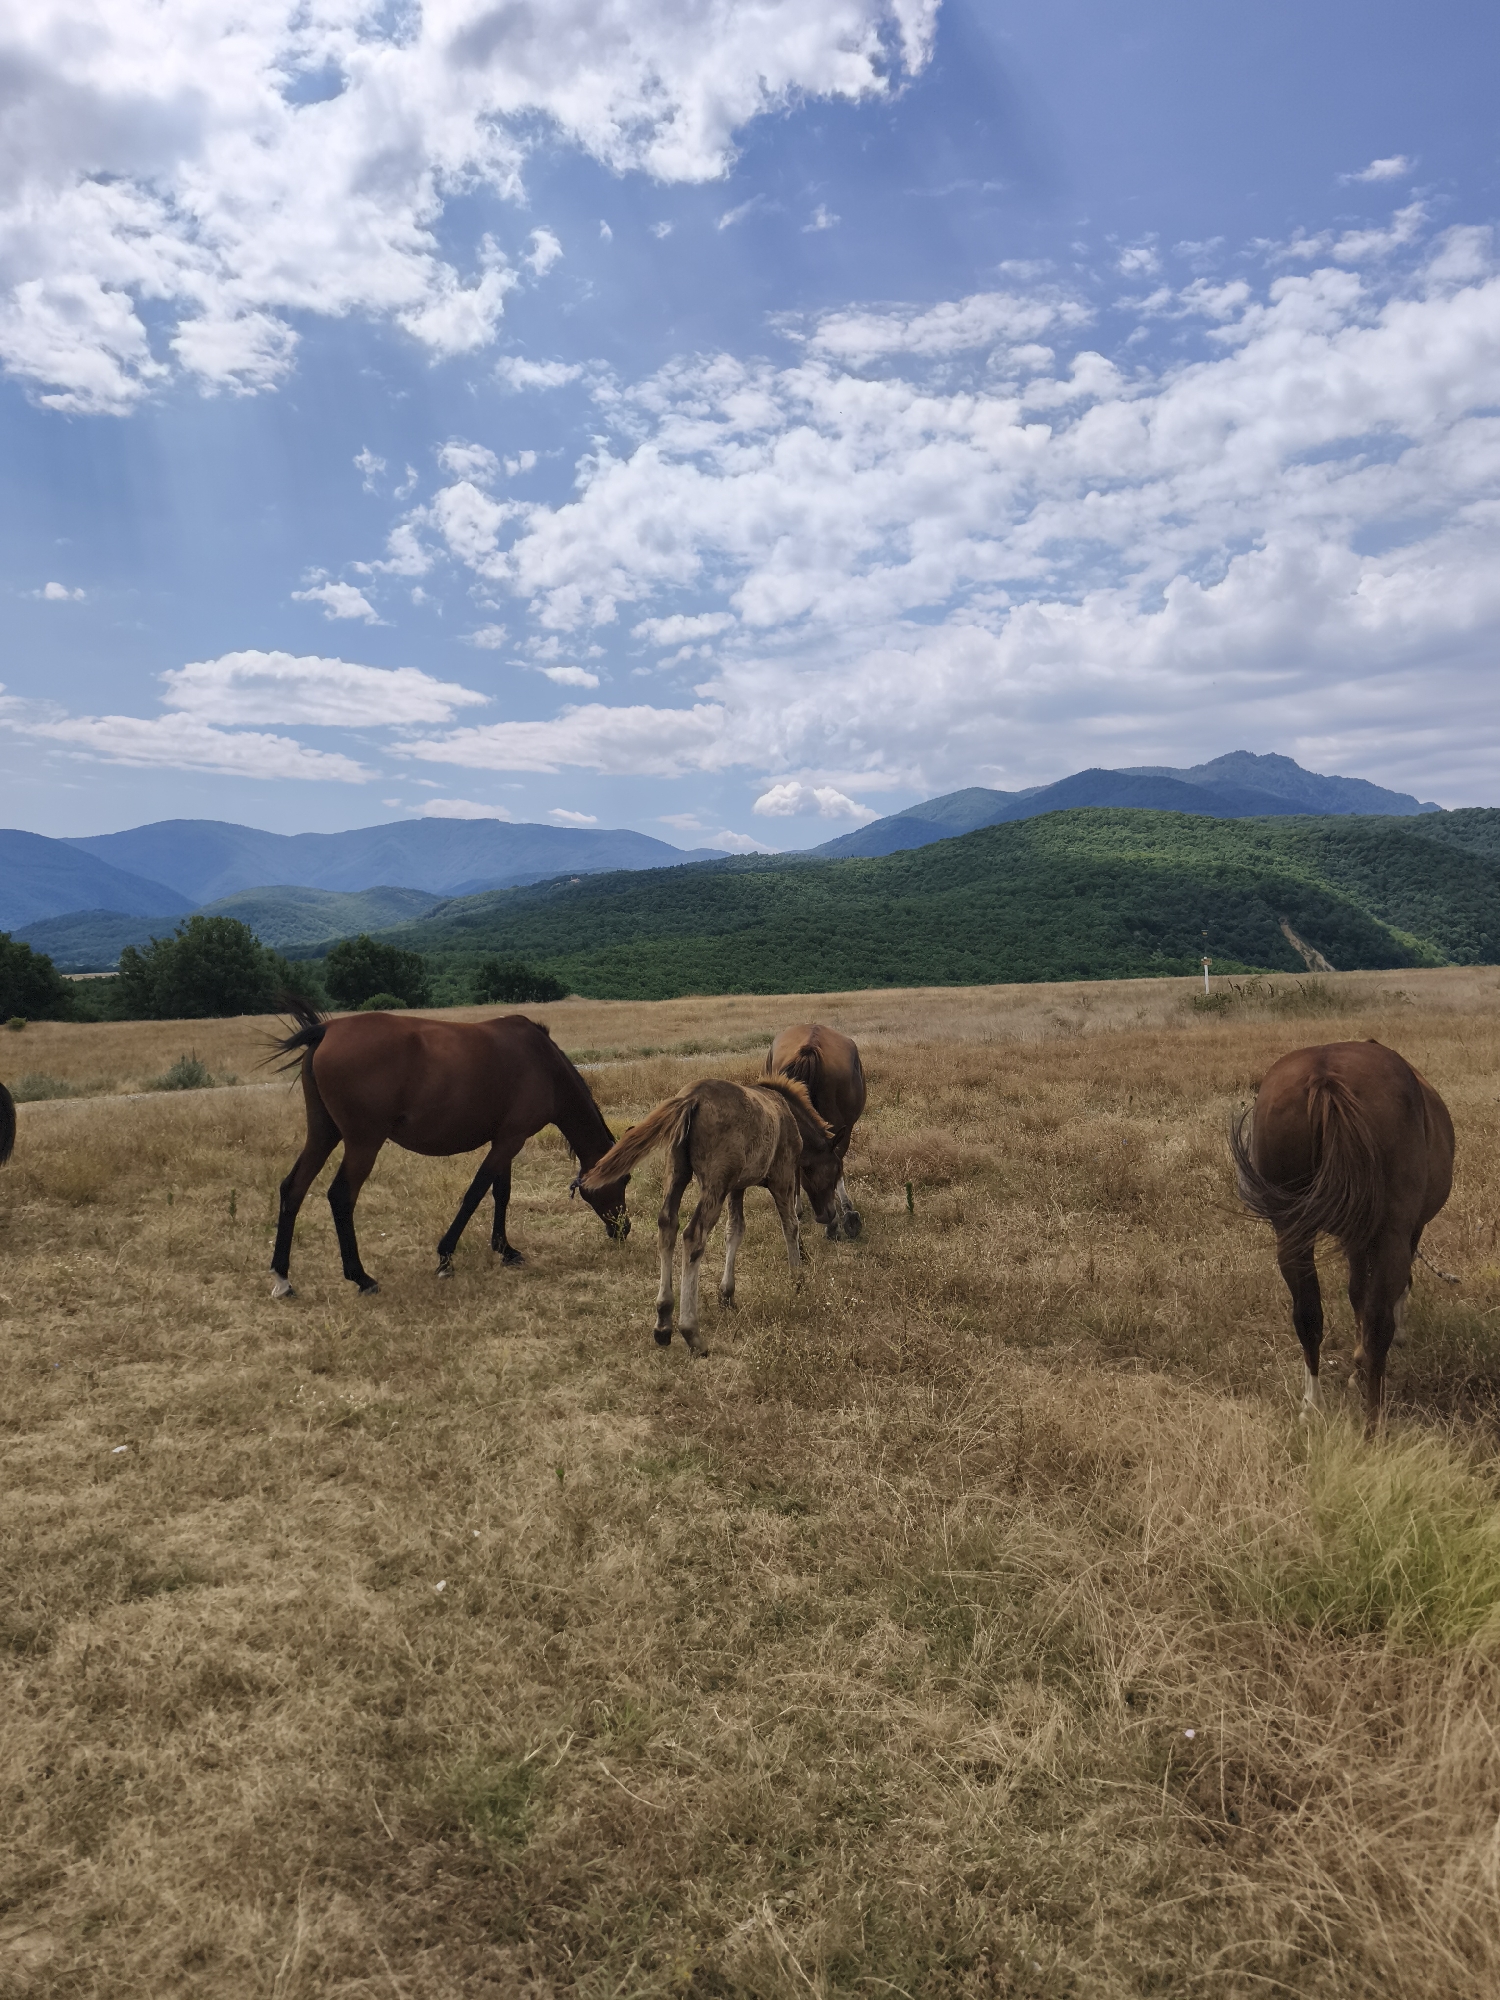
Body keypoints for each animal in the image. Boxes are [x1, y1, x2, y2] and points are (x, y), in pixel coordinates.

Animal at [267, 997, 629, 1297]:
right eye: (624, 1180)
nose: (624, 1229)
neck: (543, 1063)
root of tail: (326, 1030)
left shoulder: (506, 1140)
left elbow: (501, 1193)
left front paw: (505, 1249)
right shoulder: (510, 1140)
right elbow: (475, 1193)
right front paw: (445, 1257)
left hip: (323, 1134)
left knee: (293, 1188)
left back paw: (283, 1278)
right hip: (363, 1142)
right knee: (341, 1196)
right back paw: (361, 1277)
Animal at [580, 1076, 841, 1355]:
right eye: (836, 1169)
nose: (829, 1214)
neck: (787, 1112)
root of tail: (691, 1098)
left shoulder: (737, 1186)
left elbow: (735, 1230)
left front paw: (726, 1294)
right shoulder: (781, 1175)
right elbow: (790, 1225)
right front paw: (798, 1280)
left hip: (677, 1172)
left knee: (667, 1225)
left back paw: (663, 1323)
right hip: (715, 1182)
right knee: (694, 1235)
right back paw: (691, 1332)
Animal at [1230, 1039, 1454, 1434]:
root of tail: (1325, 1077)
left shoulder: (1355, 1239)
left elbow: (1355, 1293)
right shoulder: (1400, 1235)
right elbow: (1385, 1293)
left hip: (1292, 1231)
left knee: (1308, 1316)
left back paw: (1312, 1406)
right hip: (1391, 1234)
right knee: (1379, 1322)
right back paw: (1373, 1425)